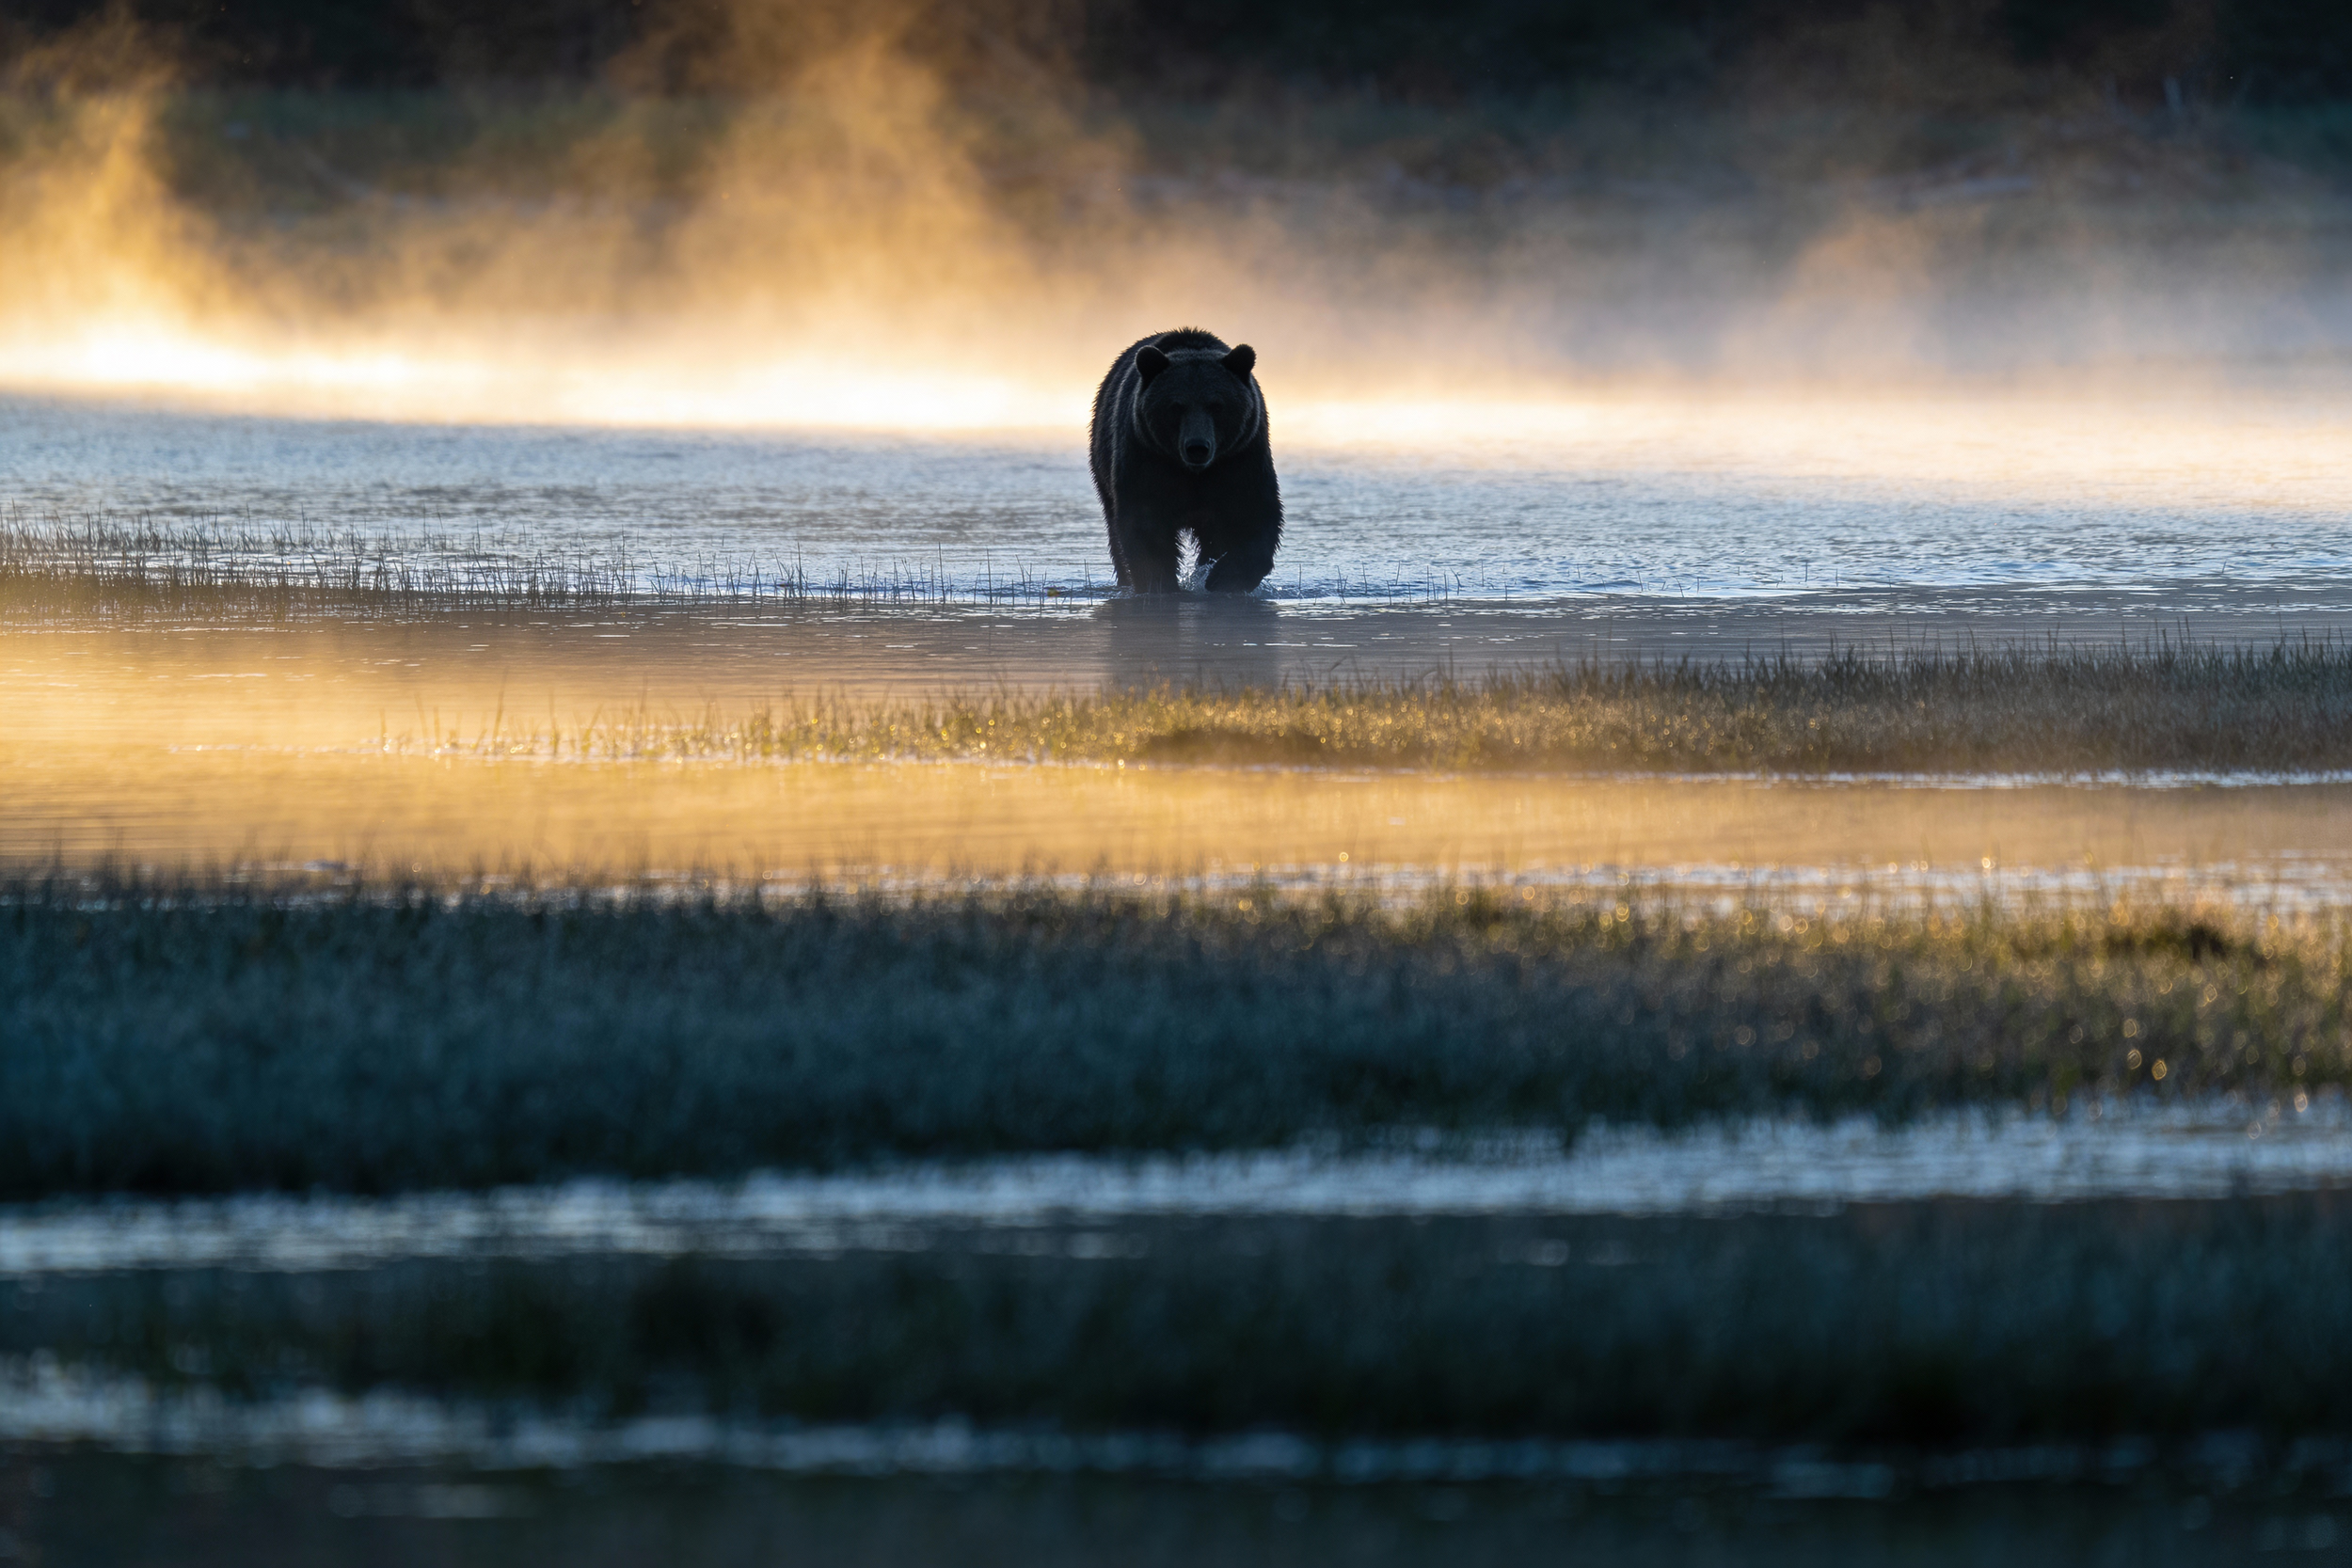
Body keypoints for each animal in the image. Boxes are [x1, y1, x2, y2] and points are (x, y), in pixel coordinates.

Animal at [1089, 328, 1283, 594]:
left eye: (1217, 405)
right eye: (1176, 406)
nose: (1197, 447)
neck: (1193, 473)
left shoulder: (1241, 457)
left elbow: (1253, 513)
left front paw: (1222, 579)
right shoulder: (1147, 456)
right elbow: (1145, 521)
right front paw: (1160, 583)